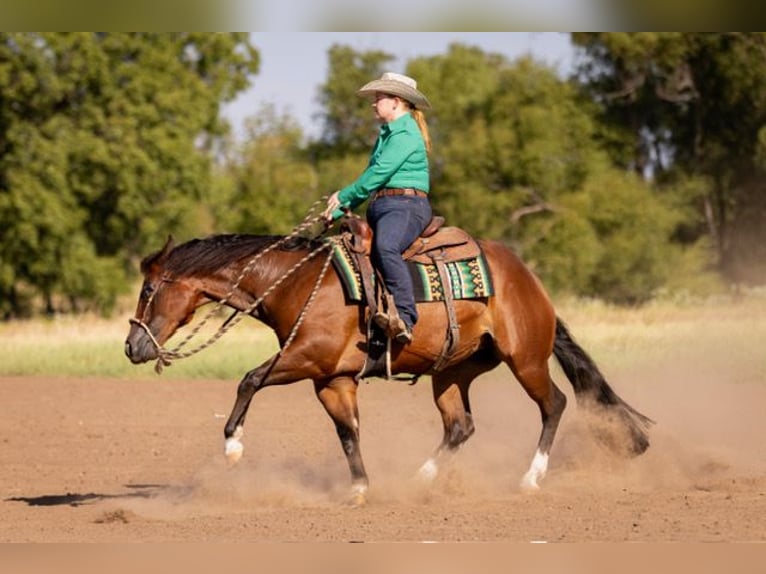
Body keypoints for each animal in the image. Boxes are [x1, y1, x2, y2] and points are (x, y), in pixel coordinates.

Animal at [124, 229, 653, 504]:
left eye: (148, 289)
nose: (133, 346)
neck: (296, 284)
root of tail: (531, 282)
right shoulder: (332, 380)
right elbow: (348, 433)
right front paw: (360, 488)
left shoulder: (306, 358)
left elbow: (249, 379)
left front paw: (233, 446)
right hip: (452, 372)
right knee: (460, 426)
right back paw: (421, 481)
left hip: (525, 360)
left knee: (555, 404)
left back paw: (530, 478)